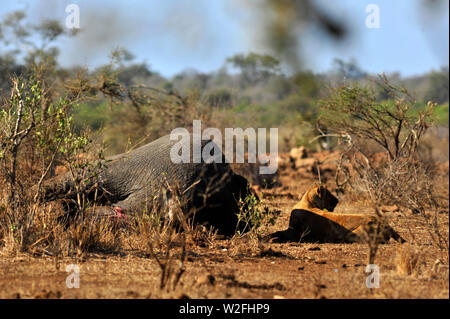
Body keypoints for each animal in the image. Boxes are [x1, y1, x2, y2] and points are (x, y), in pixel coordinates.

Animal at [268, 186, 406, 244]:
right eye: (329, 194)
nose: (338, 200)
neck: (307, 201)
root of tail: (385, 224)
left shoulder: (295, 232)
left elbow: (278, 233)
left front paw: (270, 238)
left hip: (355, 233)